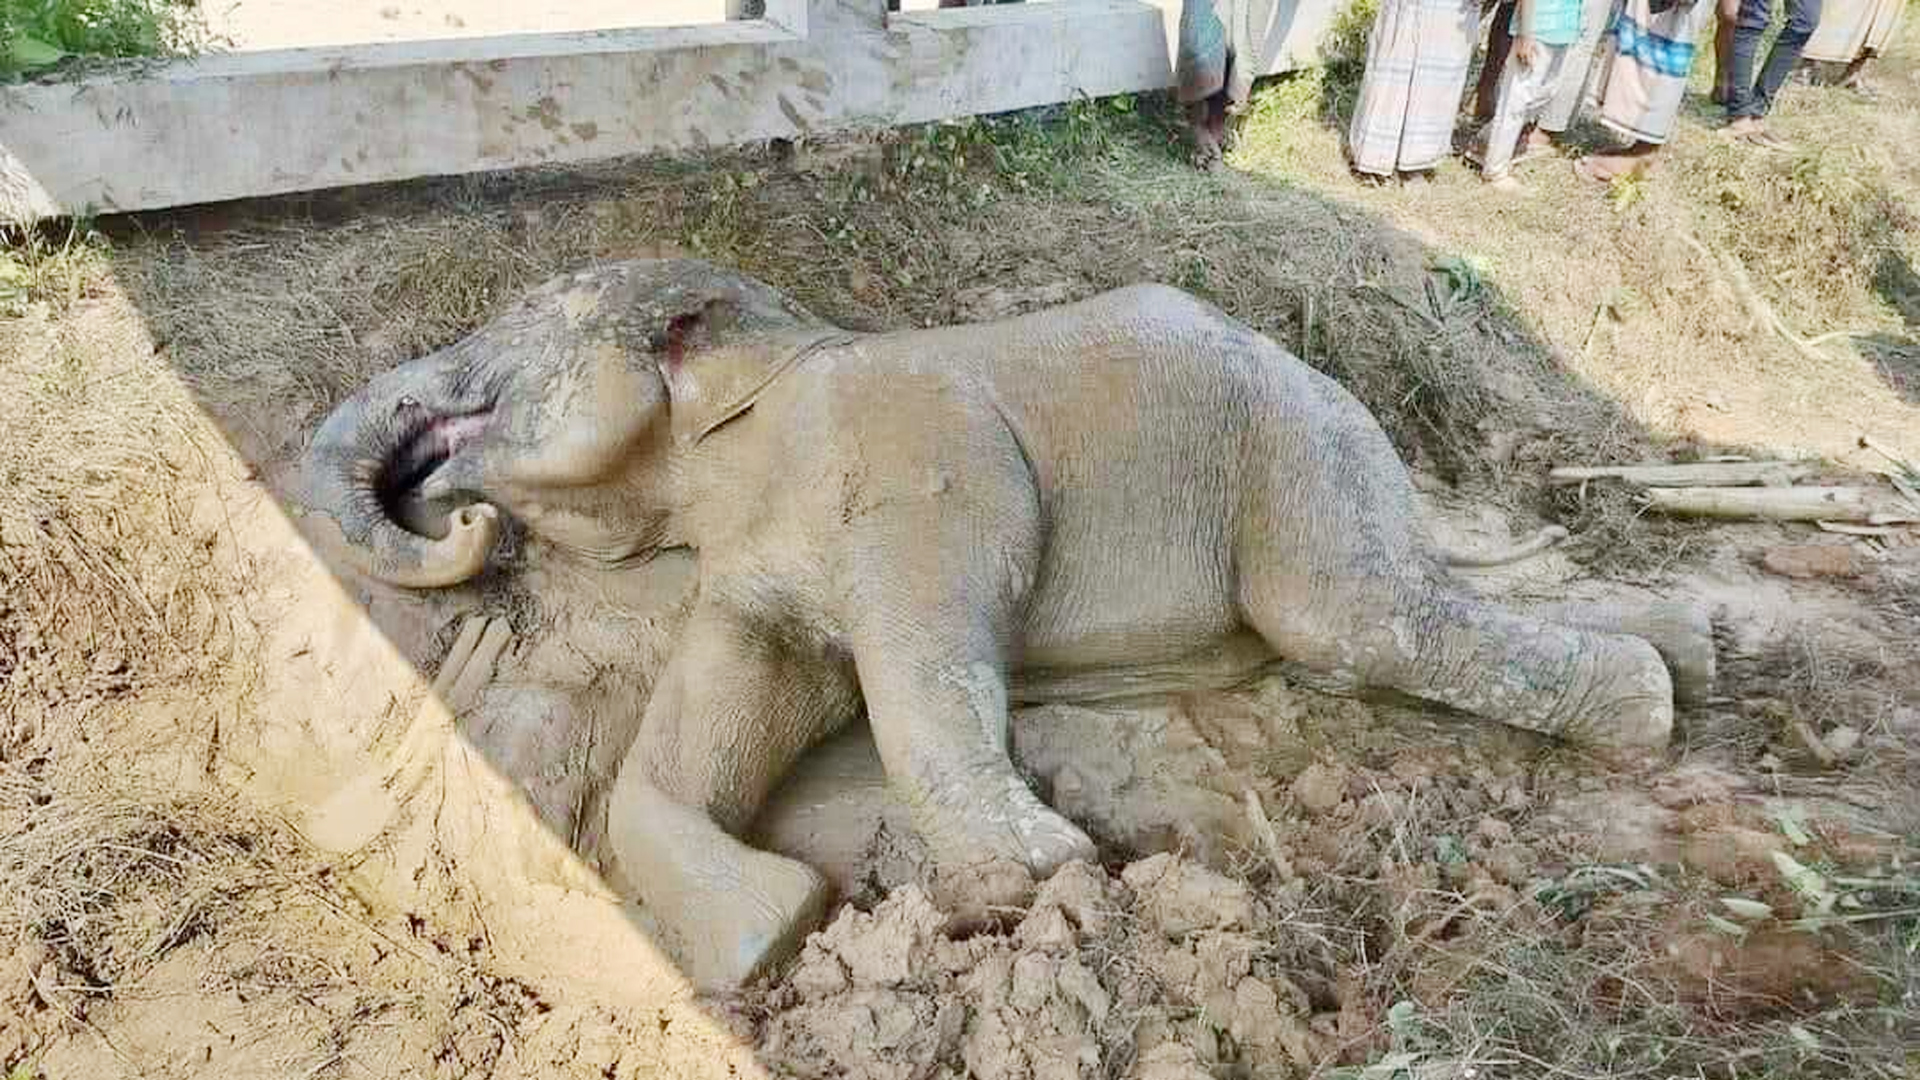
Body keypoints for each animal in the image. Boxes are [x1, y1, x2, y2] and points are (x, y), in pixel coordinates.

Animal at [295, 255, 1712, 991]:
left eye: (518, 334)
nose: (463, 525)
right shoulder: (753, 559)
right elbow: (715, 722)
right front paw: (771, 934)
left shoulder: (915, 461)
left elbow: (921, 670)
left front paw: (1046, 878)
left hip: (1294, 443)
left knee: (1356, 617)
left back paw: (1649, 709)